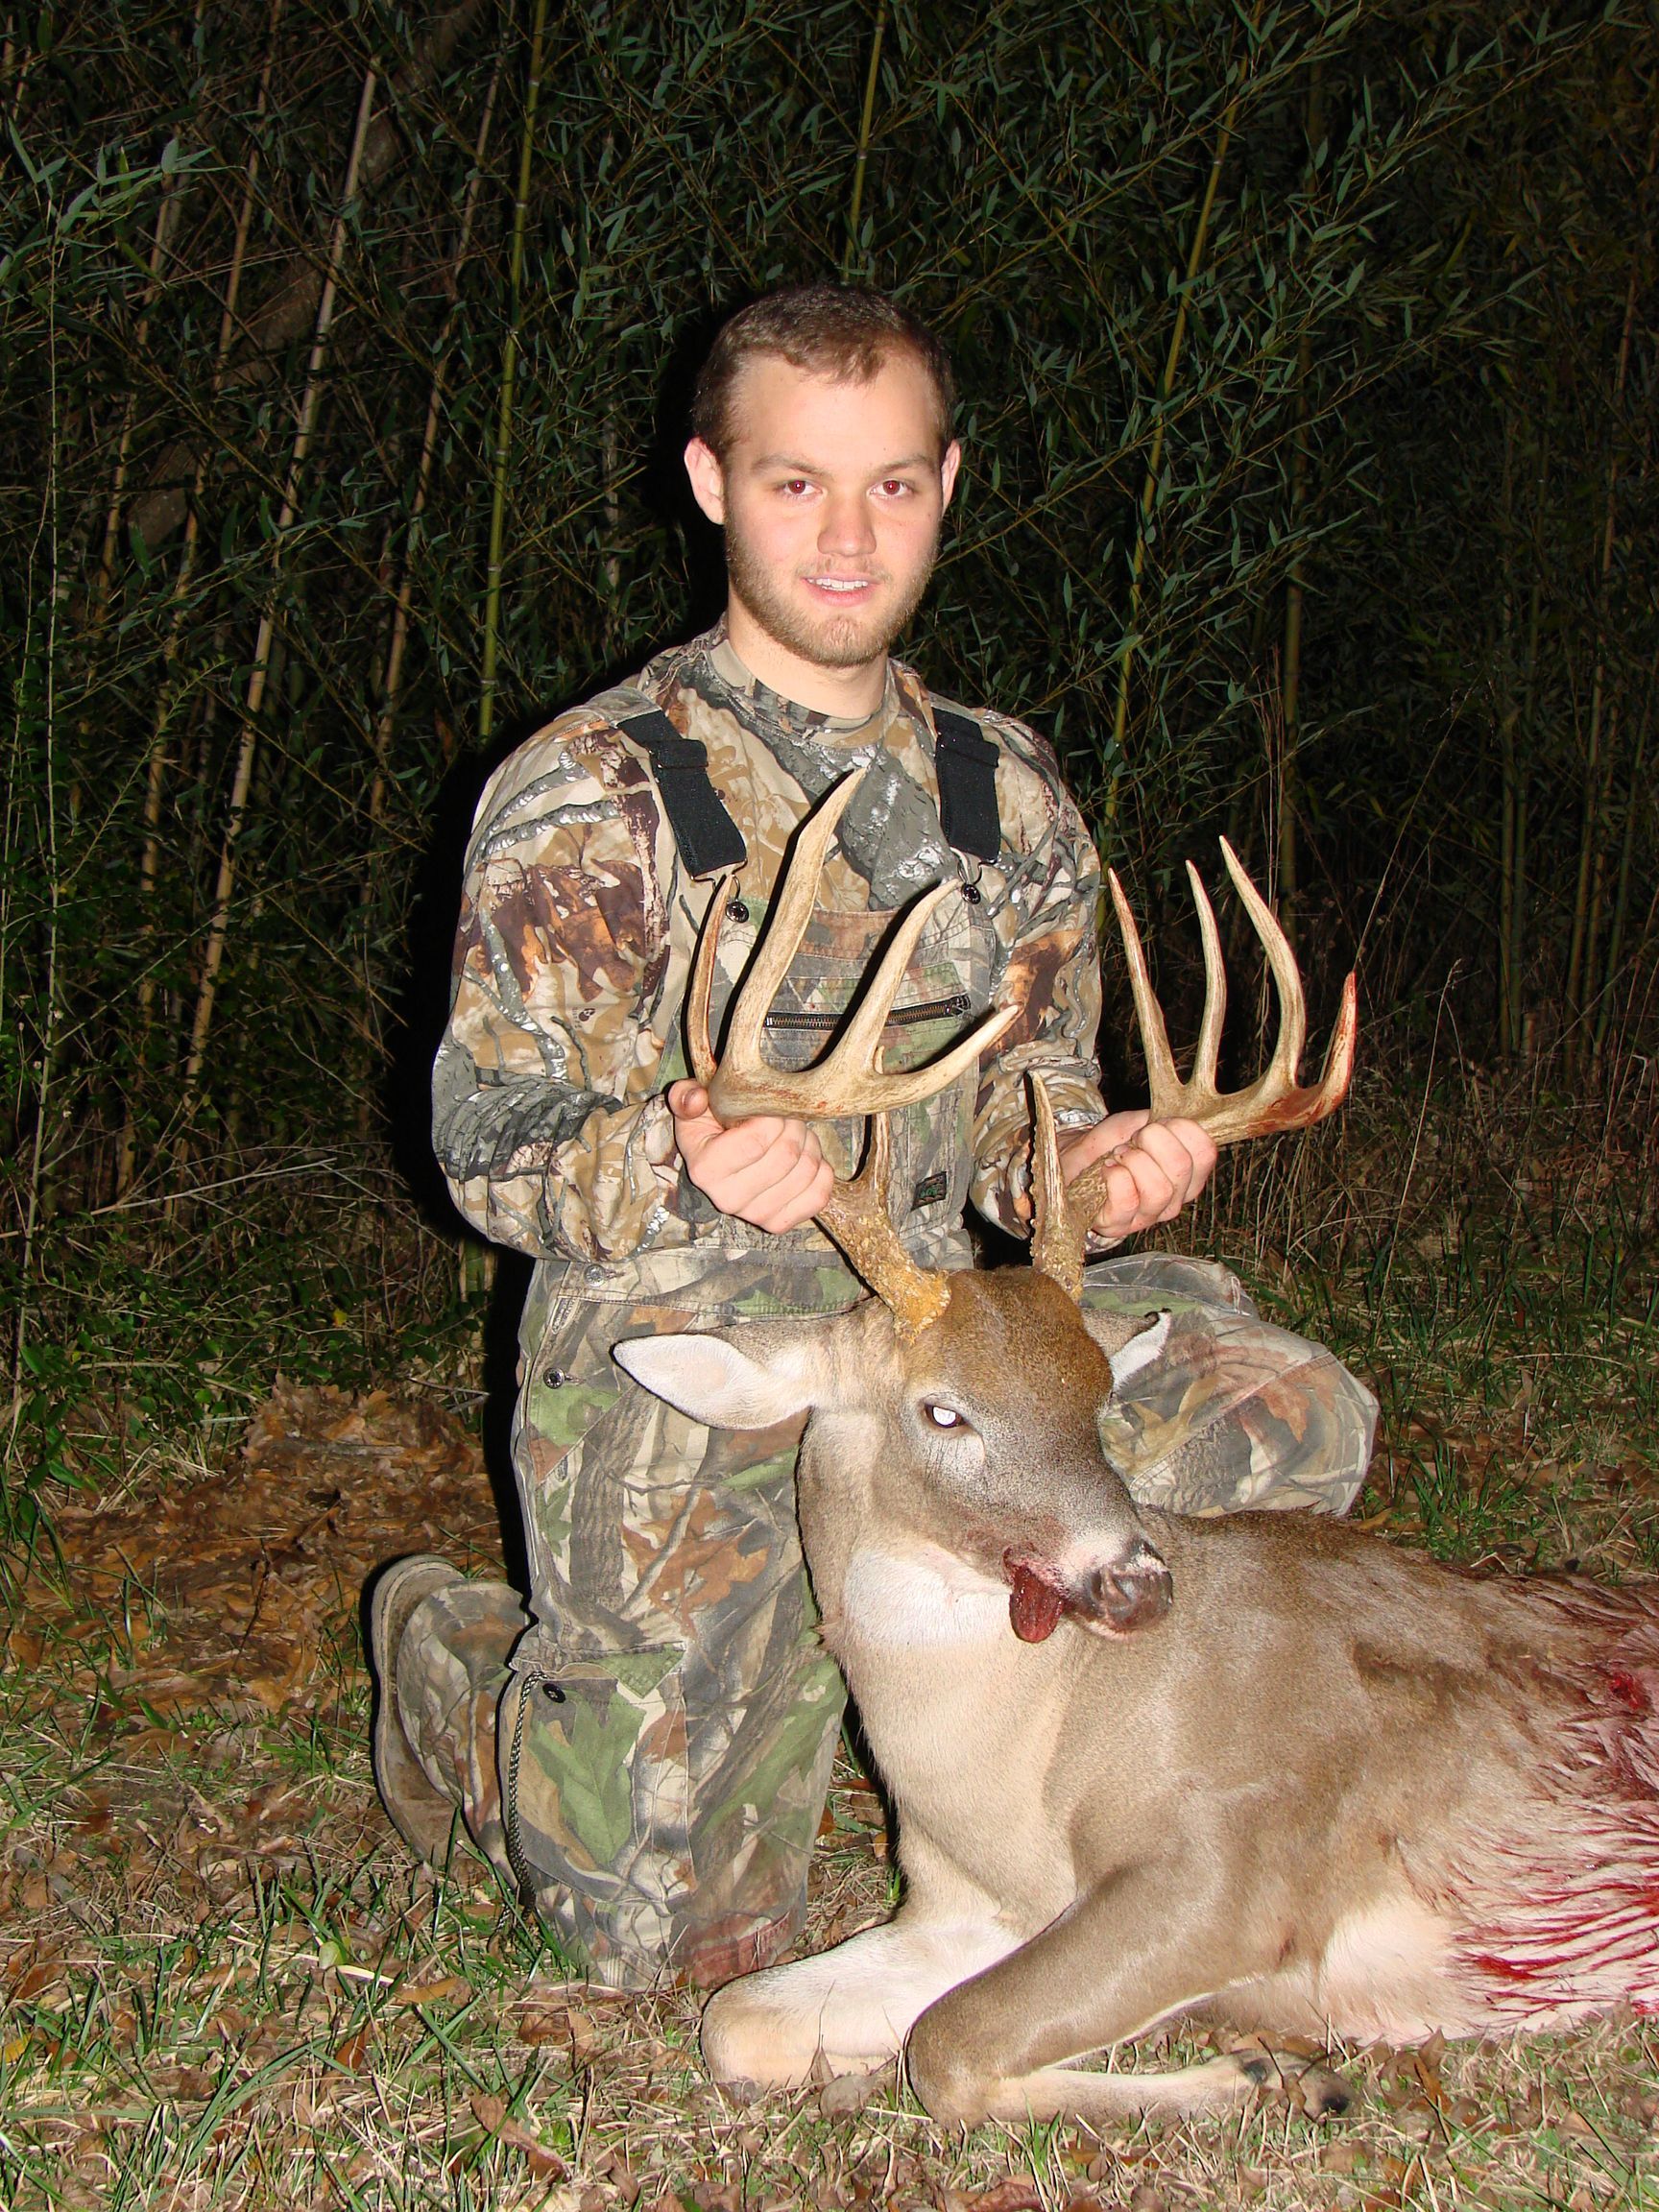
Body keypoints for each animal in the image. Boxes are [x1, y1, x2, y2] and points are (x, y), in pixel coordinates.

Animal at [616, 771, 1659, 2126]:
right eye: (943, 1411)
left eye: (1100, 1390)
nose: (1136, 1585)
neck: (1018, 1779)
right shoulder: (955, 1905)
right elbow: (744, 2022)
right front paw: (1258, 2069)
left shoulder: (1233, 1860)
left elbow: (951, 2048)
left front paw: (1262, 2069)